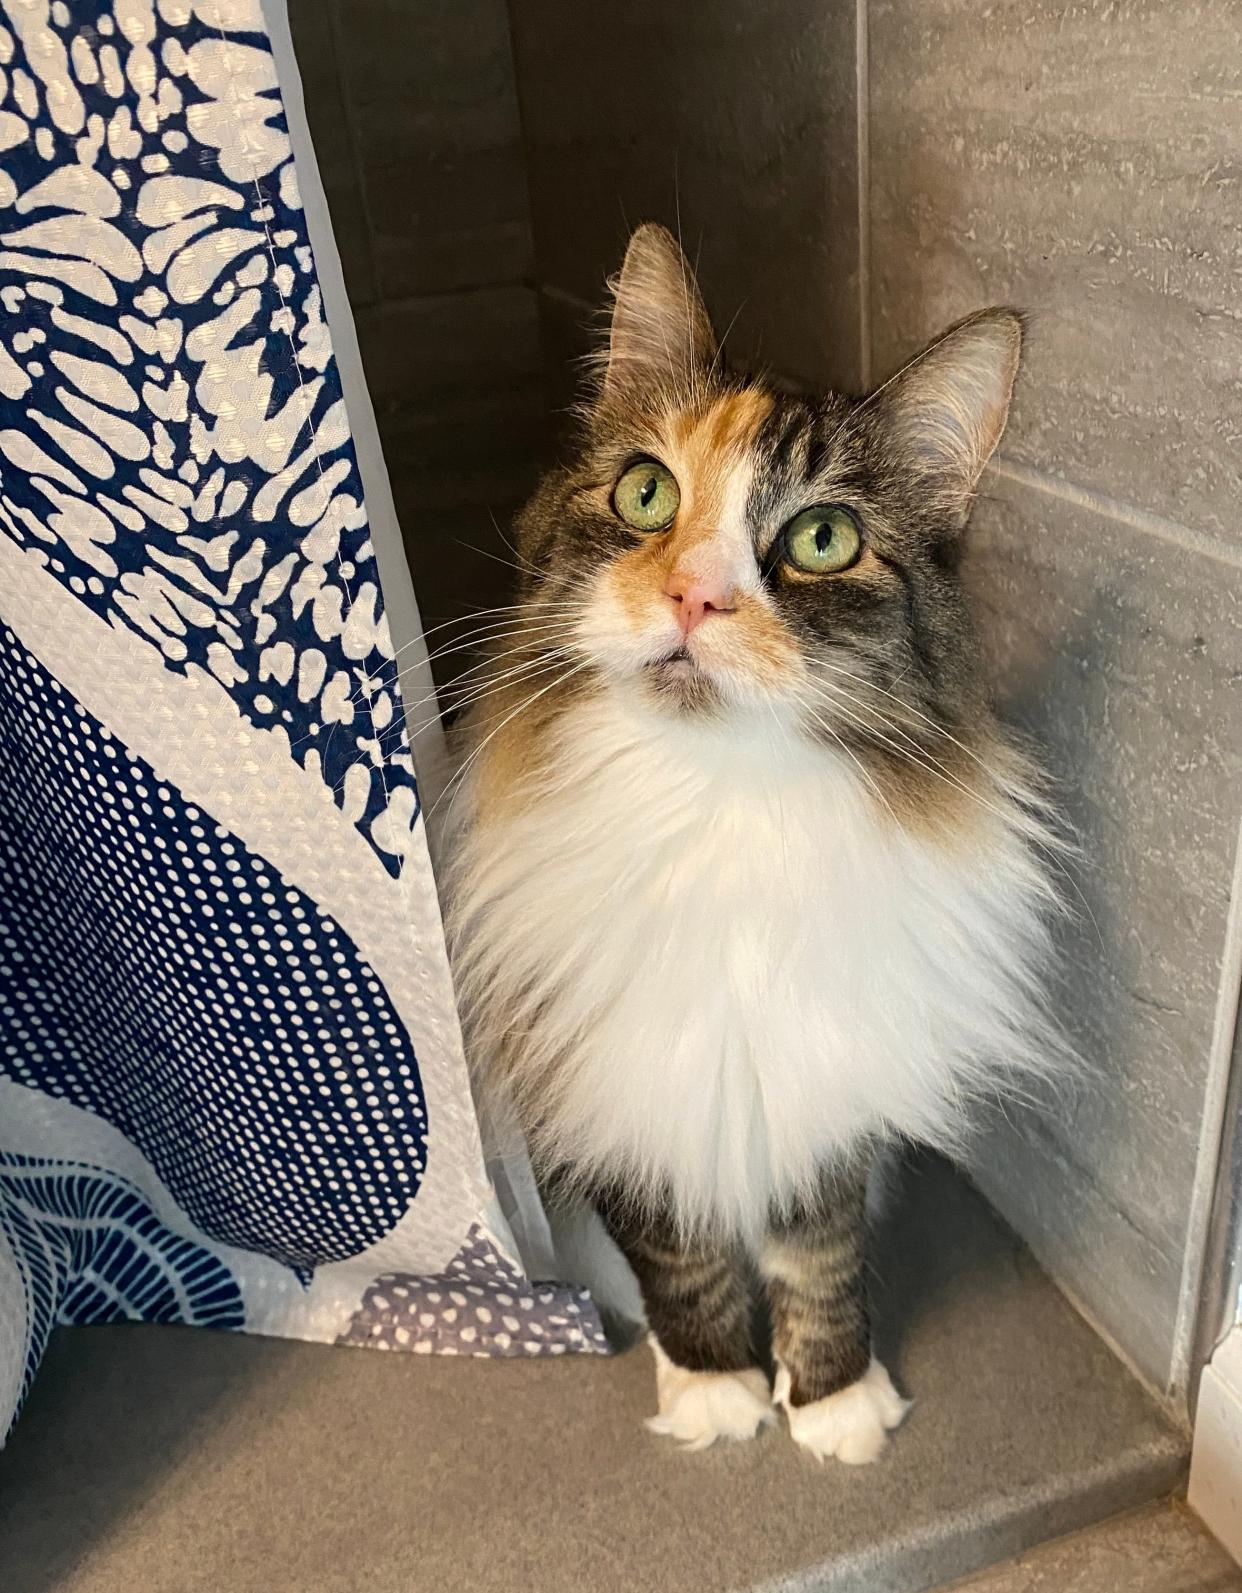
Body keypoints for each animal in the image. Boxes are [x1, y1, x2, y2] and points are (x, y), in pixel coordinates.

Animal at [442, 227, 1063, 1465]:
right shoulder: (612, 1071)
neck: (713, 810)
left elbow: (819, 1256)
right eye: (646, 492)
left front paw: (831, 1400)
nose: (694, 595)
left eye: (823, 538)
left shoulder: (821, 1072)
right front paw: (714, 1386)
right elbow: (679, 1253)